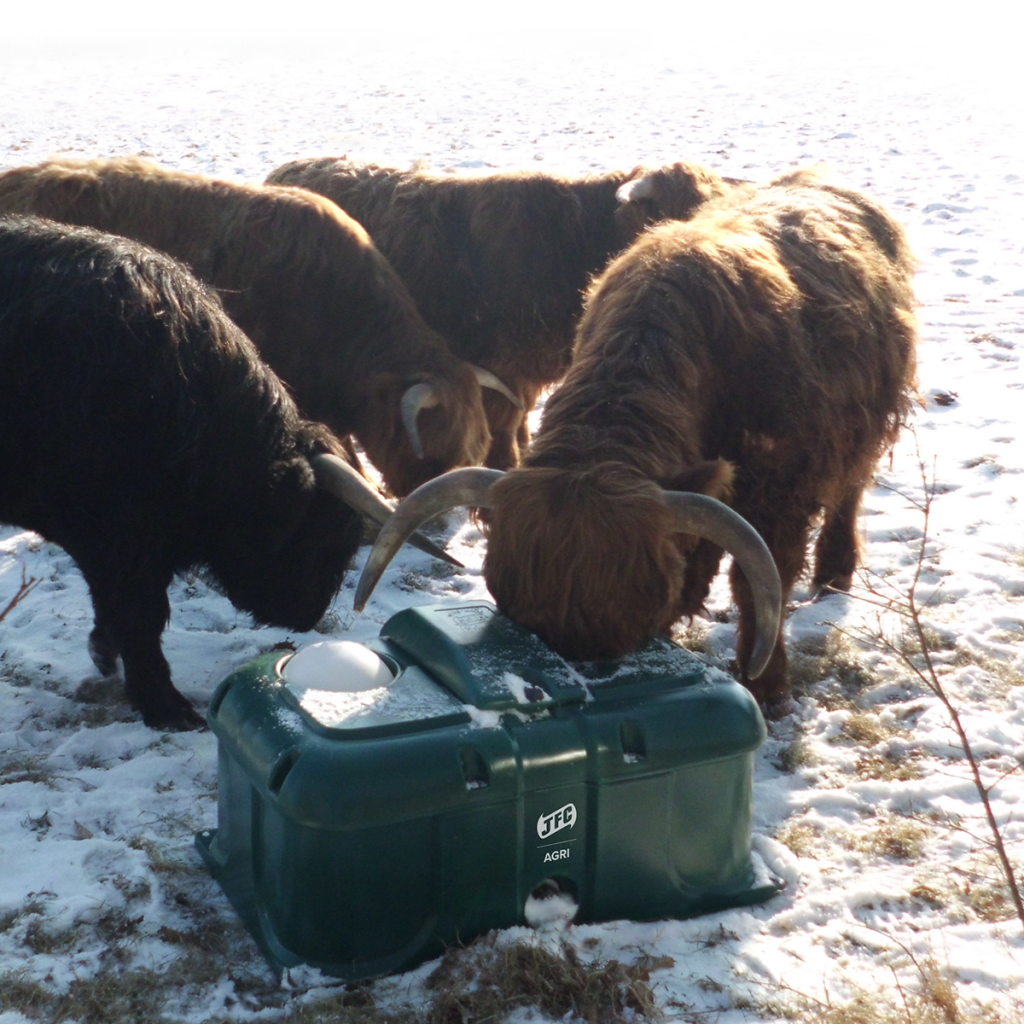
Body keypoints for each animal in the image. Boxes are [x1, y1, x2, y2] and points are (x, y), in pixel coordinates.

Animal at [268, 156, 741, 471]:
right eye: (674, 213)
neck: (573, 241)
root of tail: (286, 171)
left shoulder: (523, 379)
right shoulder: (503, 374)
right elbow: (504, 438)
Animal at [354, 169, 921, 712]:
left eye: (636, 607)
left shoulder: (779, 492)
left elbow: (760, 586)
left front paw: (767, 687)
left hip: (868, 422)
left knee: (851, 488)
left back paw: (834, 571)